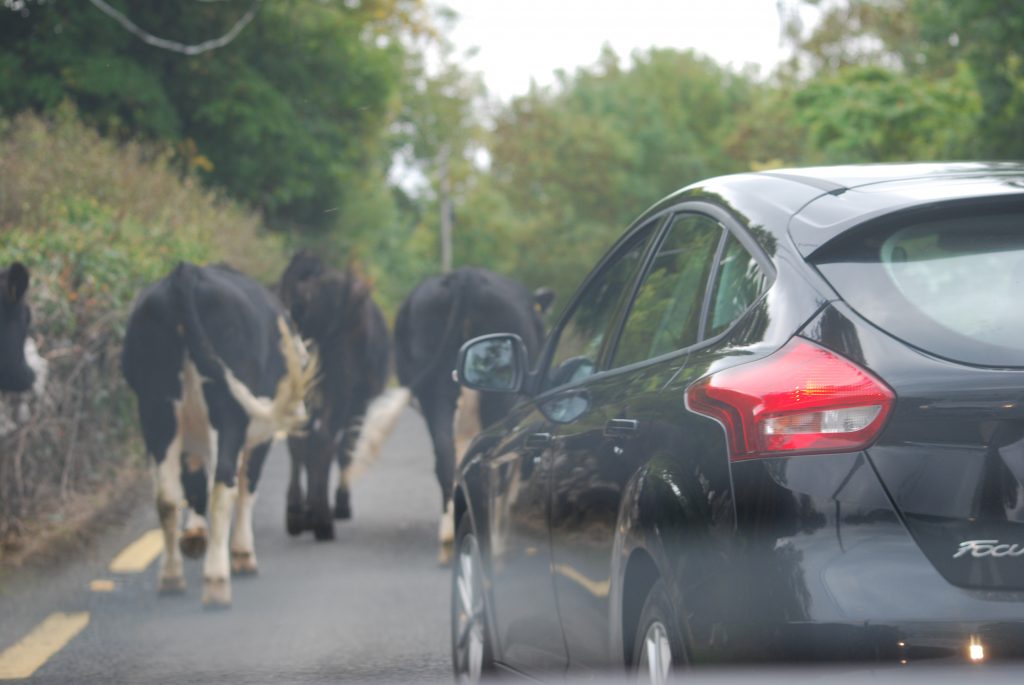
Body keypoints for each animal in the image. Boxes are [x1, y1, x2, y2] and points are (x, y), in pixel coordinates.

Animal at [122, 260, 311, 602]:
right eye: (301, 362)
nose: (300, 414)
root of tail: (185, 273)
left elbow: (193, 483)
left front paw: (195, 536)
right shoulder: (260, 437)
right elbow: (247, 485)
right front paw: (243, 554)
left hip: (156, 410)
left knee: (167, 494)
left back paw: (171, 576)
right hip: (228, 413)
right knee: (223, 485)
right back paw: (217, 581)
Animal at [282, 249, 409, 540]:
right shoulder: (359, 401)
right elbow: (345, 449)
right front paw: (340, 504)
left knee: (299, 441)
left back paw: (296, 514)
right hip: (341, 390)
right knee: (326, 441)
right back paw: (324, 521)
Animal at [391, 266, 552, 561]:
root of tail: (465, 275)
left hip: (435, 388)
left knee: (445, 453)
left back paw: (447, 539)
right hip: (499, 388)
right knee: (495, 462)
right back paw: (494, 542)